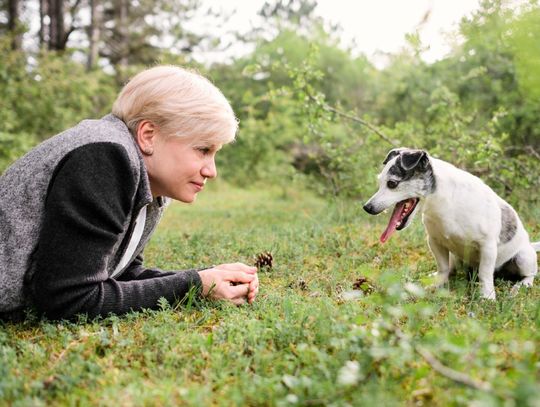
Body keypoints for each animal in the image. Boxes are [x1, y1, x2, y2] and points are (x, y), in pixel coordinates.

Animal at [362, 147, 540, 300]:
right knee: (451, 267)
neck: (442, 204)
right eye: (379, 182)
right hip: (456, 257)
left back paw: (521, 286)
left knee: (529, 274)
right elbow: (443, 267)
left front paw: (487, 296)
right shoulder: (434, 241)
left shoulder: (488, 246)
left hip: (523, 258)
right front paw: (437, 283)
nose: (367, 207)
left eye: (392, 184)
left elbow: (485, 273)